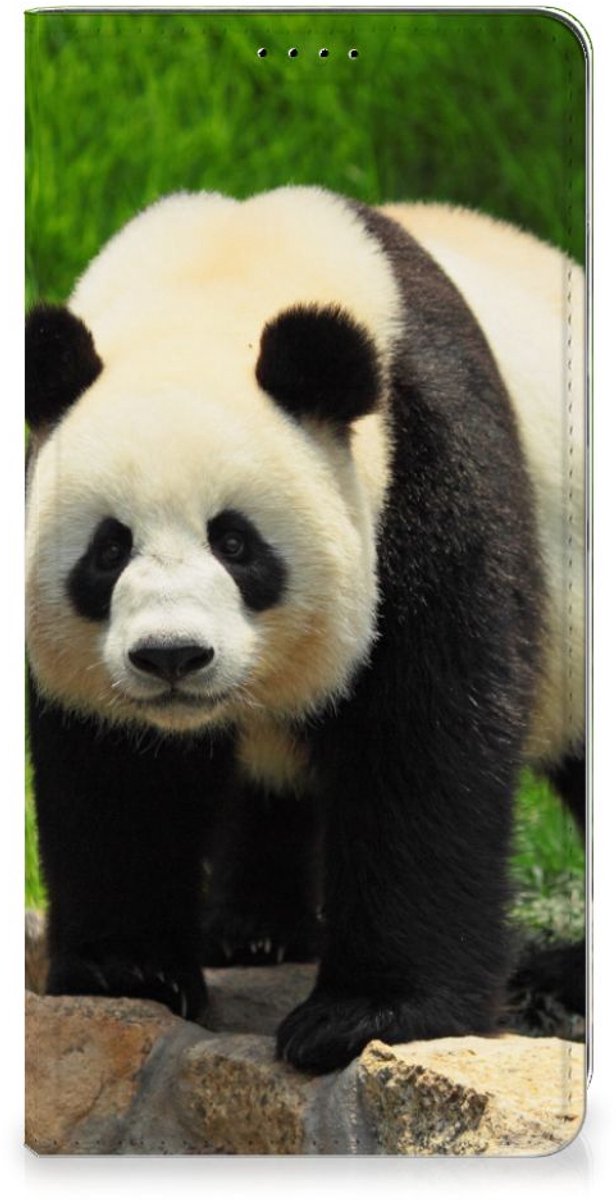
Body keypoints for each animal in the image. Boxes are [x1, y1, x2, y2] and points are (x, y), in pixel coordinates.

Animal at [25, 186, 585, 1073]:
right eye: (108, 550)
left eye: (236, 542)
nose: (172, 656)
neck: (218, 279)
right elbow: (115, 767)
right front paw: (128, 972)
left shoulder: (428, 466)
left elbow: (424, 737)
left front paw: (366, 1016)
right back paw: (253, 932)